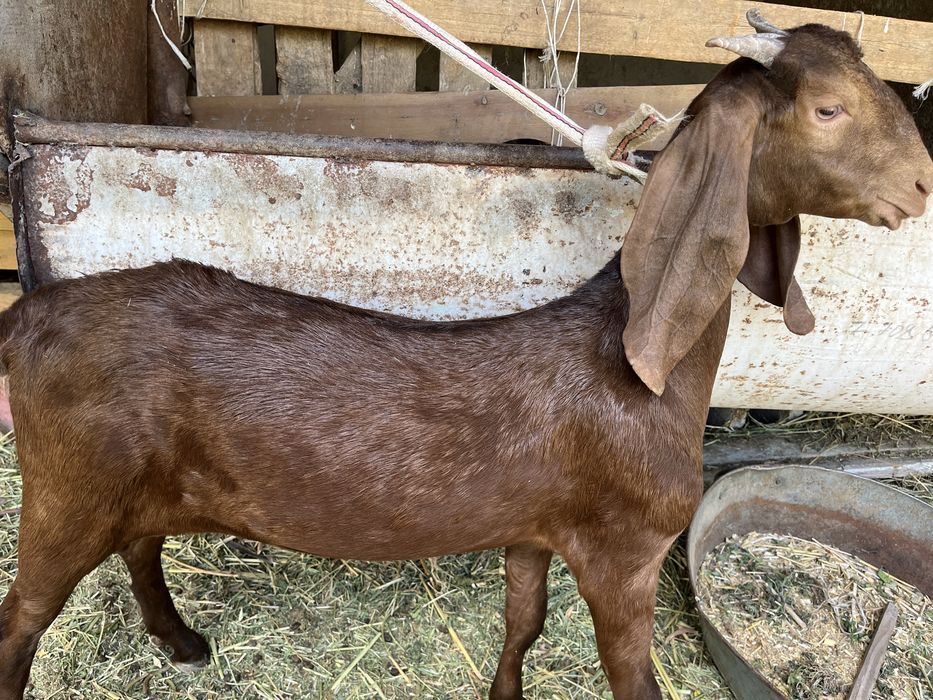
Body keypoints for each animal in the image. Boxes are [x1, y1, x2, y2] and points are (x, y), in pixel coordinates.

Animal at [0, 12, 930, 700]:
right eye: (827, 109)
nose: (921, 185)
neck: (635, 365)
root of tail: (27, 316)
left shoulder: (532, 528)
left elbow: (524, 621)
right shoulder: (625, 554)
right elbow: (628, 677)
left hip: (130, 483)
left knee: (139, 545)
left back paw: (182, 641)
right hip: (66, 489)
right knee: (24, 614)